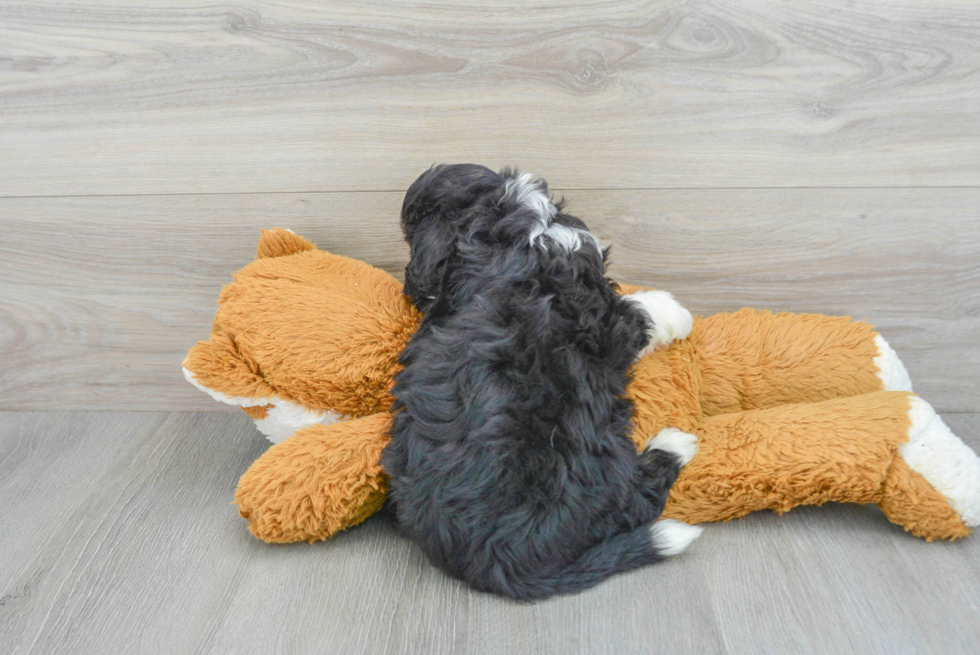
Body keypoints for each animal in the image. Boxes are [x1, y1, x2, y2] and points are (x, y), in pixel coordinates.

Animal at [380, 164, 696, 600]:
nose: (411, 285)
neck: (501, 228)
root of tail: (498, 562)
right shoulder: (607, 320)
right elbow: (639, 312)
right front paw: (677, 312)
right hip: (607, 461)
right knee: (638, 502)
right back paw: (674, 445)